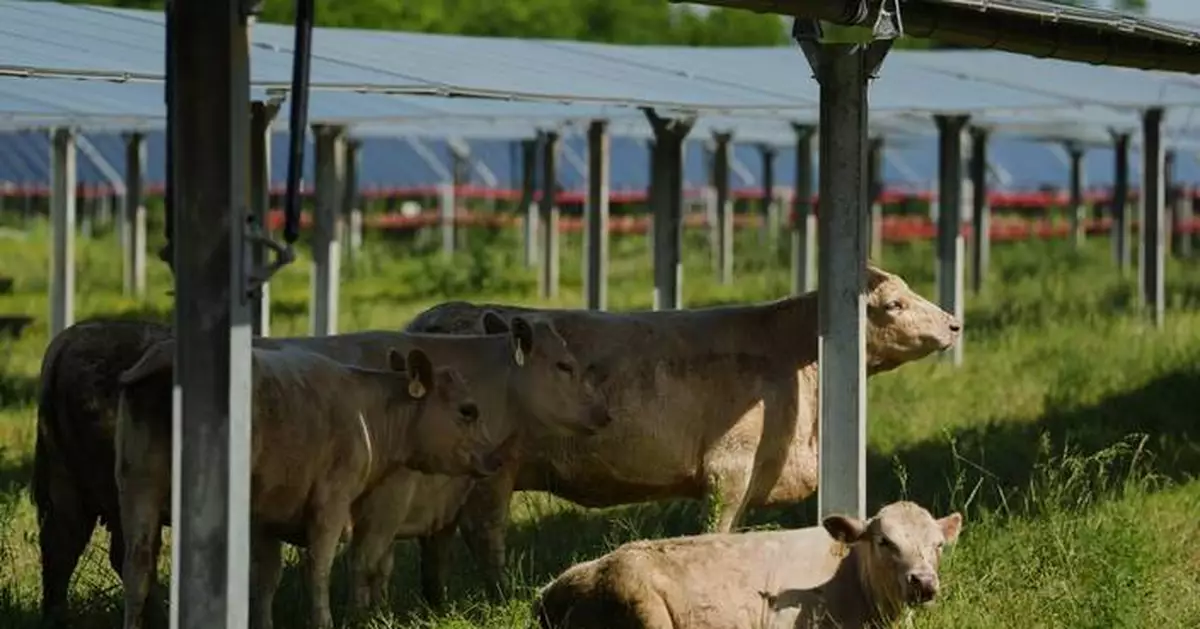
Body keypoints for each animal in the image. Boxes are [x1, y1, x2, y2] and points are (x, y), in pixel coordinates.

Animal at [115, 340, 509, 629]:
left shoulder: (265, 520)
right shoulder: (331, 502)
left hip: (137, 488)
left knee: (138, 567)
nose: (493, 458)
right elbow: (324, 567)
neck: (366, 413)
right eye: (468, 411)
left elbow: (266, 577)